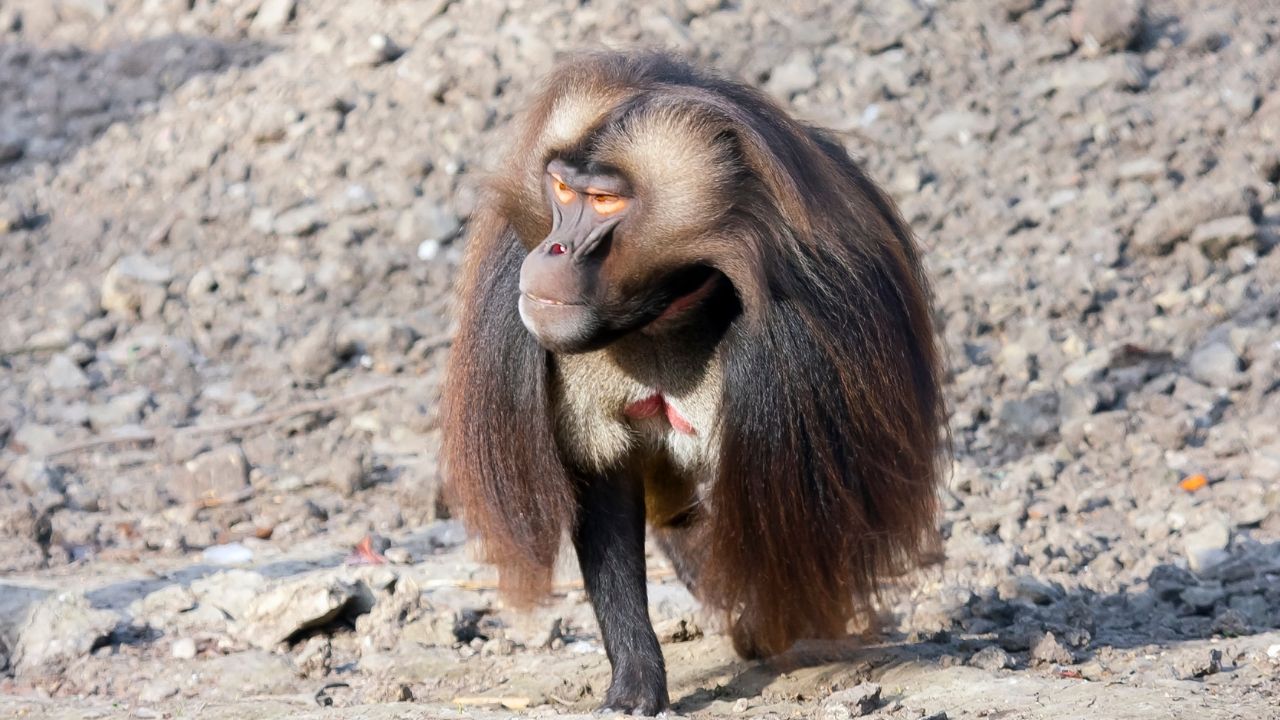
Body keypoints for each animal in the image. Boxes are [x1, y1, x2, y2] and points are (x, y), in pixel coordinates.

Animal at [442, 51, 947, 716]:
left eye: (604, 201)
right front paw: (636, 680)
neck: (667, 307)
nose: (552, 249)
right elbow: (606, 487)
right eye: (561, 188)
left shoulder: (797, 335)